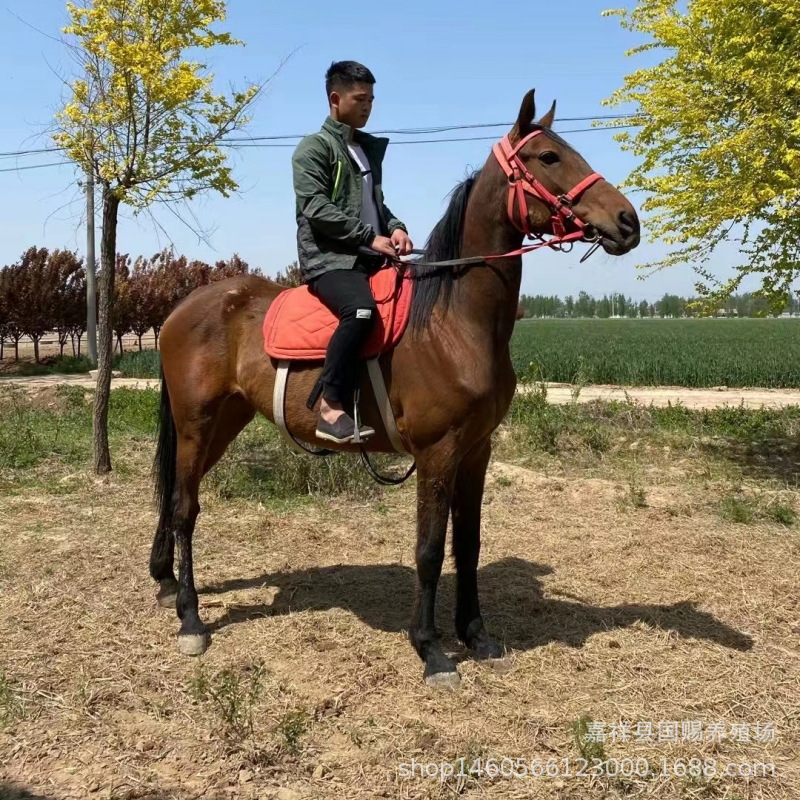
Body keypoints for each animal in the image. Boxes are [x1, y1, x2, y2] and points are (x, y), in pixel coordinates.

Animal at [150, 89, 640, 689]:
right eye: (549, 156)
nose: (627, 220)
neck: (454, 320)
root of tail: (183, 307)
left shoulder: (476, 451)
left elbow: (468, 544)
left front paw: (476, 633)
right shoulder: (437, 453)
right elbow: (429, 550)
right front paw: (430, 648)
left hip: (222, 423)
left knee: (178, 497)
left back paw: (166, 581)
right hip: (196, 422)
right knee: (183, 508)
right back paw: (191, 618)